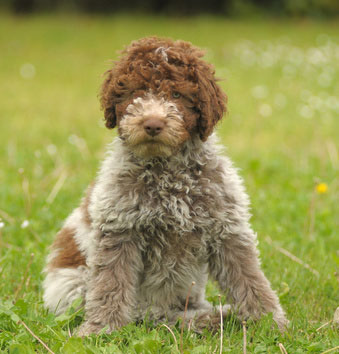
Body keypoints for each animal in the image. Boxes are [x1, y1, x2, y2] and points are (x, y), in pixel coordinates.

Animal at [41, 36, 290, 334]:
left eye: (177, 96)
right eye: (136, 92)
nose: (152, 123)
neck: (167, 171)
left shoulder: (227, 227)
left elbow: (249, 278)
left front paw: (269, 321)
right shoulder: (119, 230)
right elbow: (110, 283)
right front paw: (102, 328)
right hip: (74, 285)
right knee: (147, 314)